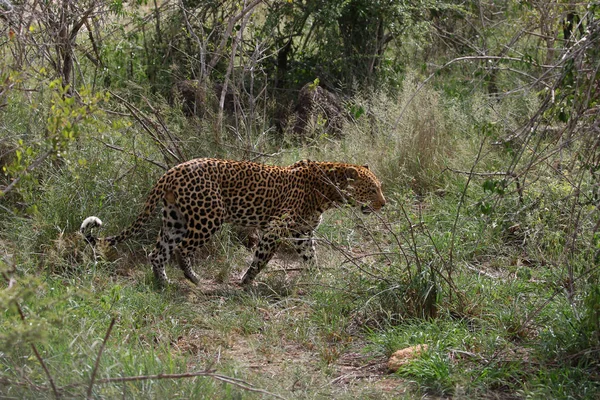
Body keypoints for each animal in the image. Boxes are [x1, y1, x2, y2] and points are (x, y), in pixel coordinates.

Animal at [79, 158, 386, 286]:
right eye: (372, 190)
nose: (384, 204)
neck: (329, 190)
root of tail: (171, 171)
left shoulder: (301, 233)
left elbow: (311, 256)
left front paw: (317, 277)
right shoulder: (275, 228)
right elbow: (261, 258)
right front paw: (246, 281)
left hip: (175, 219)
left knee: (157, 252)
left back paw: (163, 282)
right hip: (208, 216)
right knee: (182, 249)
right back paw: (193, 278)